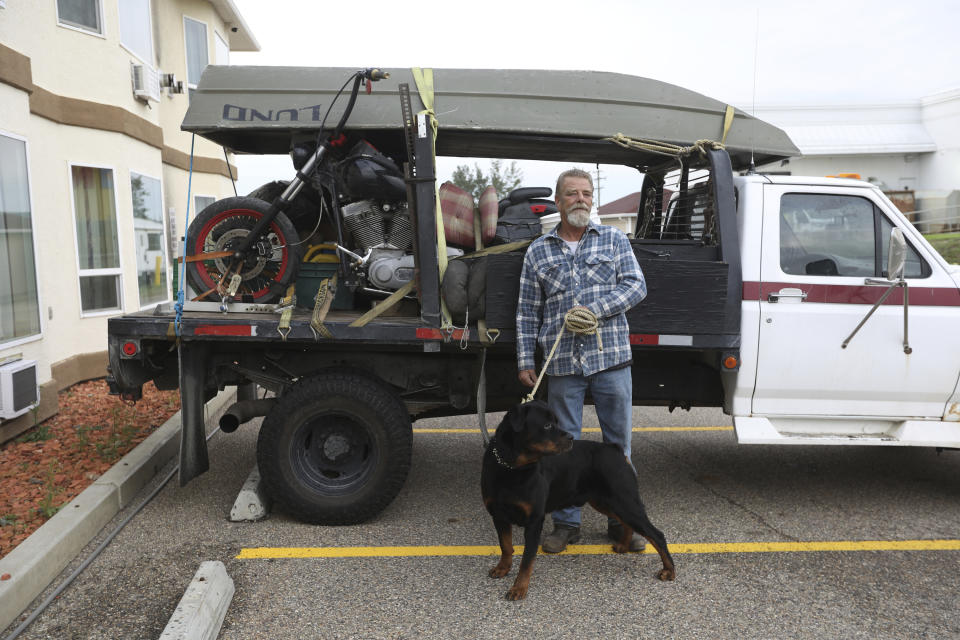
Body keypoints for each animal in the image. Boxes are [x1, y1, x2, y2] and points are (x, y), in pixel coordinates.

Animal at [480, 400, 676, 600]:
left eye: (557, 422)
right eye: (547, 425)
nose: (571, 437)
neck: (512, 468)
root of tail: (615, 449)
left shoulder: (534, 521)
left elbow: (527, 559)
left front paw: (519, 588)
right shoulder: (498, 515)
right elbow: (505, 545)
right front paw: (503, 568)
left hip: (625, 500)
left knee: (657, 535)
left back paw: (669, 570)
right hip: (607, 502)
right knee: (626, 522)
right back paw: (623, 545)